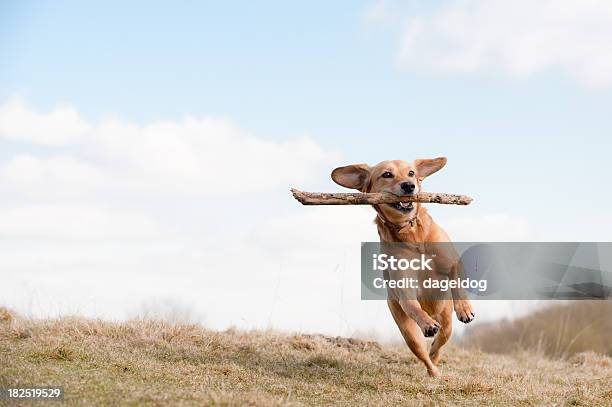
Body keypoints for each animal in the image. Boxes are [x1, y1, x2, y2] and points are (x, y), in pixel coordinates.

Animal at [332, 158, 476, 378]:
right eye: (387, 174)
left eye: (411, 173)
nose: (409, 186)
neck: (410, 233)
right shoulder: (405, 289)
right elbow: (413, 305)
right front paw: (426, 323)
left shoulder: (453, 262)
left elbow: (458, 283)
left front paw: (465, 309)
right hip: (408, 331)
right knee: (424, 354)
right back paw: (434, 371)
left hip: (446, 317)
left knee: (442, 338)